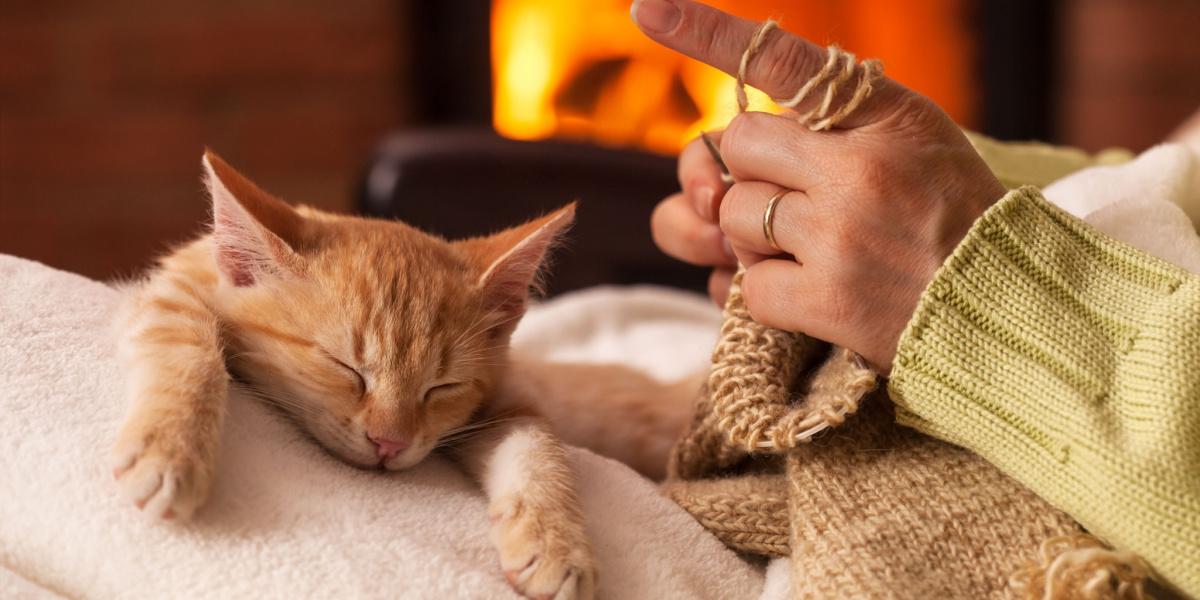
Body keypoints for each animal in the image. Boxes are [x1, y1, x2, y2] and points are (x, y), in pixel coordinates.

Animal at [110, 151, 696, 600]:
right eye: (346, 368)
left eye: (442, 387)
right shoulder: (180, 284)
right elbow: (185, 346)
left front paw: (556, 543)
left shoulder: (506, 398)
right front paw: (171, 450)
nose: (389, 443)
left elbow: (538, 448)